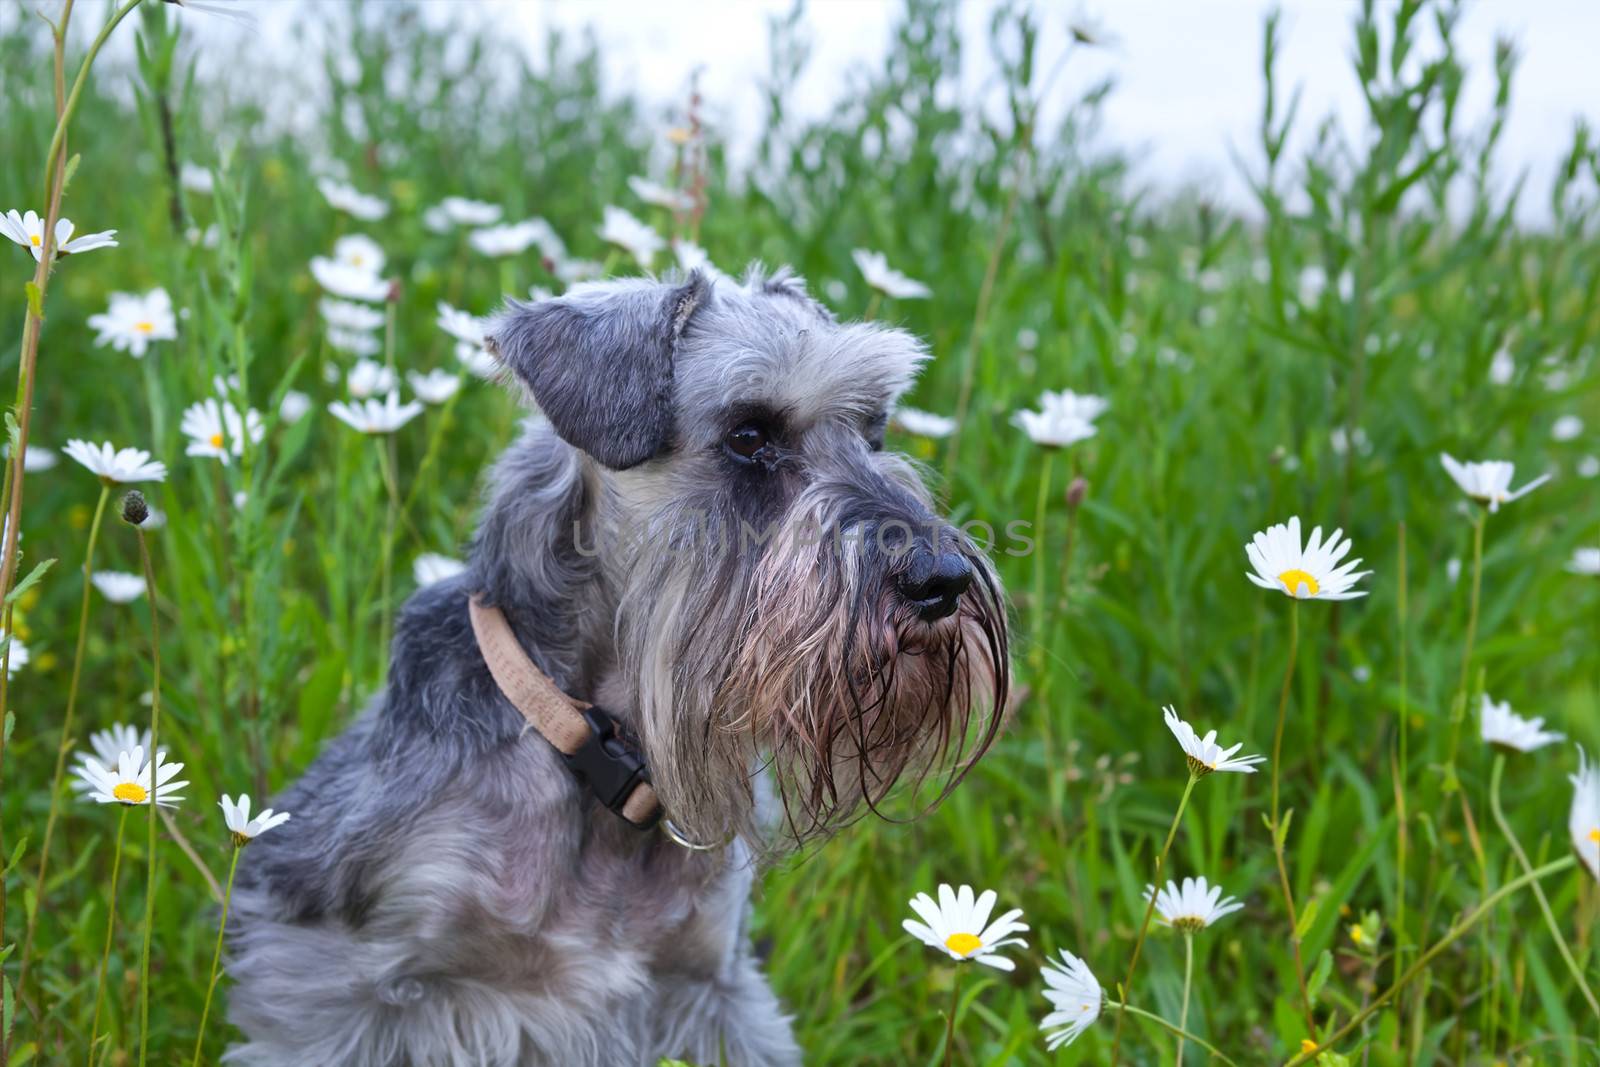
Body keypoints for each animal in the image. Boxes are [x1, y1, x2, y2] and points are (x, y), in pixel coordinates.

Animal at [224, 262, 1004, 1062]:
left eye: (873, 430)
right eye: (749, 435)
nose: (943, 580)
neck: (596, 751)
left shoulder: (713, 990)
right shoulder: (345, 990)